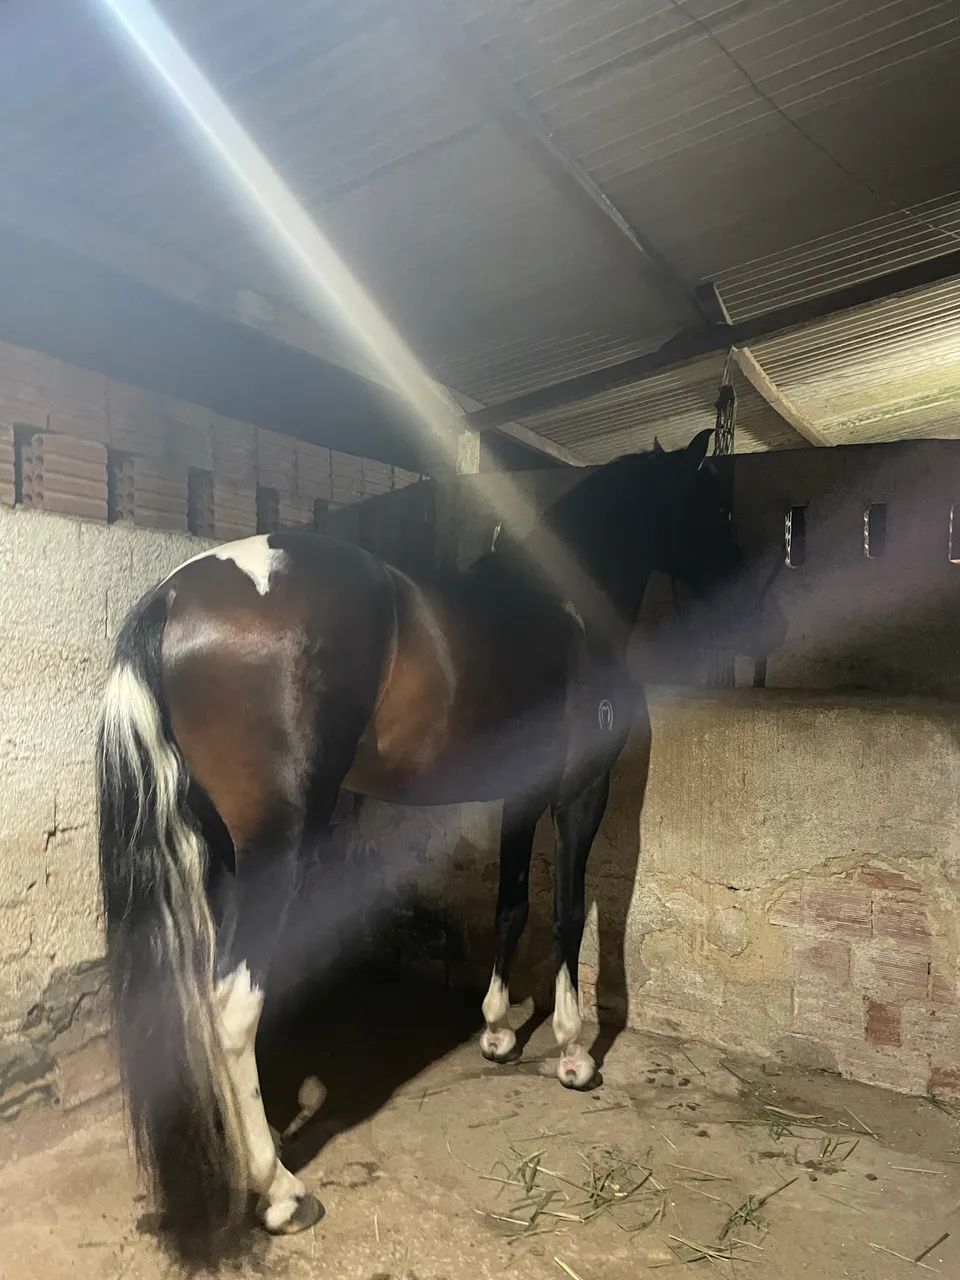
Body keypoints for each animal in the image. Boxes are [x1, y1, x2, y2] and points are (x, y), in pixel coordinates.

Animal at [97, 427, 775, 1260]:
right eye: (713, 500)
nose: (751, 587)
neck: (562, 614)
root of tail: (171, 596)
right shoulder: (581, 794)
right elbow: (570, 913)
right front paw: (574, 1053)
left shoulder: (520, 794)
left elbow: (512, 904)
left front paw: (497, 1032)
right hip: (273, 850)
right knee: (233, 1002)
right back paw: (280, 1192)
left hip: (218, 851)